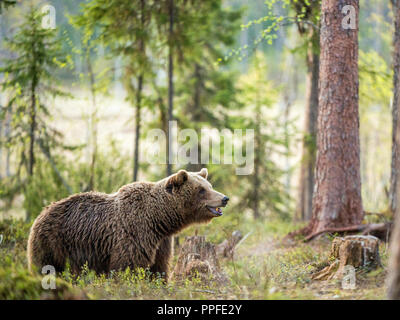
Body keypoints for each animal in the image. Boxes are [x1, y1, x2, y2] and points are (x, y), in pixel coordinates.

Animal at [27, 169, 228, 278]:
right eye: (201, 190)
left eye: (209, 186)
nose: (224, 198)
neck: (159, 219)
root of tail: (42, 213)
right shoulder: (134, 233)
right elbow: (128, 267)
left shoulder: (161, 242)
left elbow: (158, 268)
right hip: (53, 243)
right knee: (46, 267)